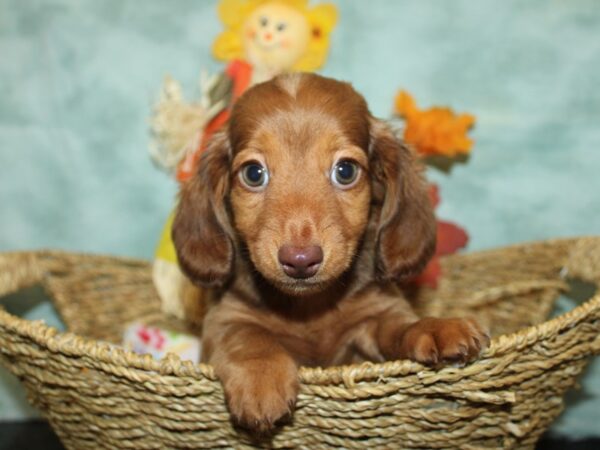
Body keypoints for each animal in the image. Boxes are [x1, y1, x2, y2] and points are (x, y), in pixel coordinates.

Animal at [171, 73, 490, 432]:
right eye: (253, 173)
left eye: (345, 170)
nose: (300, 260)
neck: (309, 309)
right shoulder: (224, 319)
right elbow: (248, 337)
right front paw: (260, 376)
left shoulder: (376, 314)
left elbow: (399, 328)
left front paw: (434, 327)